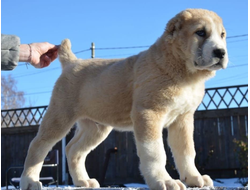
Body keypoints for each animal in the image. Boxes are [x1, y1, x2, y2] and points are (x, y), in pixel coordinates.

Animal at [20, 9, 229, 190]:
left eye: (222, 35)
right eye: (200, 32)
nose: (221, 52)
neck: (184, 73)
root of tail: (73, 62)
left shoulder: (183, 119)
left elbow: (186, 151)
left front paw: (193, 178)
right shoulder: (149, 113)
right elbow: (155, 152)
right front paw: (163, 181)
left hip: (96, 128)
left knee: (73, 150)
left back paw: (82, 181)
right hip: (60, 116)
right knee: (38, 145)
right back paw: (29, 181)